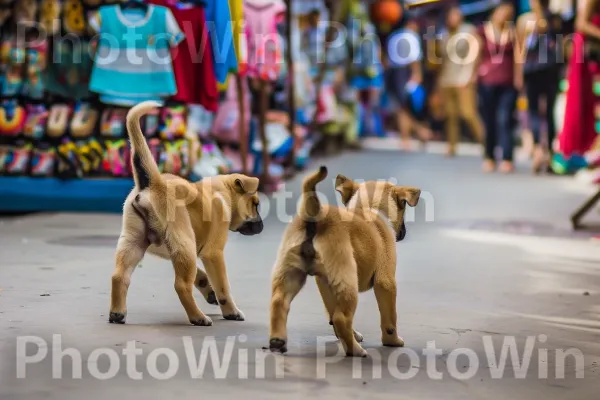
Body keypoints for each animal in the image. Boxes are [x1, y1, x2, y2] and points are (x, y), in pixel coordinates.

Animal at [270, 166, 420, 356]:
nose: (402, 233)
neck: (368, 209)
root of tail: (316, 215)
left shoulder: (324, 282)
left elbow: (332, 311)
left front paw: (352, 334)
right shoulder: (385, 281)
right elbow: (389, 318)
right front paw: (392, 340)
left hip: (291, 273)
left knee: (279, 302)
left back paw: (277, 341)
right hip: (347, 280)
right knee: (342, 318)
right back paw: (355, 350)